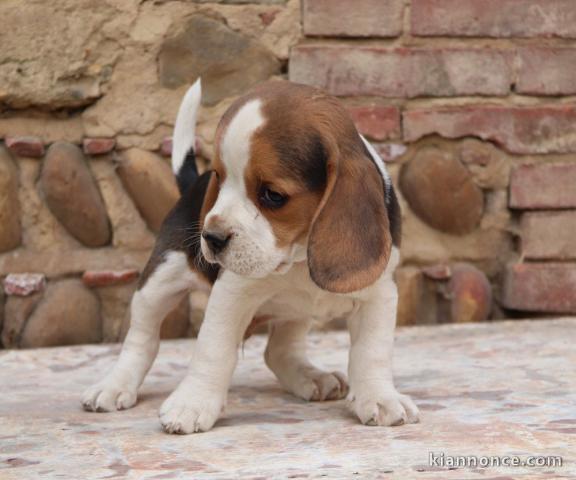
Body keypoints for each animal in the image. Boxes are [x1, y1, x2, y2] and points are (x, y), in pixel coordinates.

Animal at [82, 79, 418, 436]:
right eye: (218, 177)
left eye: (273, 195)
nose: (211, 237)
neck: (297, 257)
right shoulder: (231, 294)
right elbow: (212, 348)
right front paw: (193, 403)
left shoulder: (379, 295)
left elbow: (372, 352)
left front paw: (380, 397)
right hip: (158, 283)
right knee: (141, 339)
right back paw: (114, 386)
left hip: (294, 312)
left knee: (278, 351)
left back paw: (311, 377)